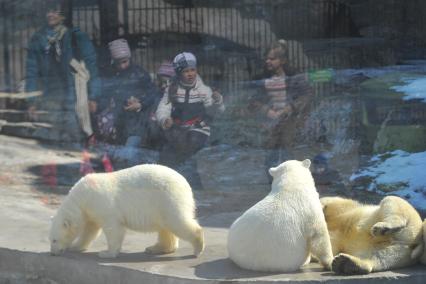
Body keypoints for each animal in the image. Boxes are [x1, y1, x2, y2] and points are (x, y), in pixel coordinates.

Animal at [48, 163, 205, 258]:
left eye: (55, 239)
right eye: (50, 239)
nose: (53, 253)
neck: (82, 197)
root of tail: (185, 183)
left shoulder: (102, 205)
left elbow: (113, 228)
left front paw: (106, 253)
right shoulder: (90, 211)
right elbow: (90, 230)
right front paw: (75, 246)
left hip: (168, 198)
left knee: (177, 222)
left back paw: (198, 247)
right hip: (163, 205)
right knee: (166, 227)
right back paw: (155, 248)